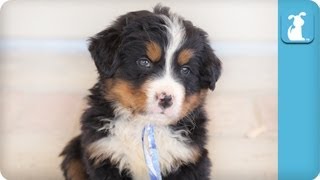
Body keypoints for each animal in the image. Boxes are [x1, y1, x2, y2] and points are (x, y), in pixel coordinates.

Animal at [60, 4, 222, 179]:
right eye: (144, 62)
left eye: (186, 70)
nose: (166, 98)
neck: (144, 125)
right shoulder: (103, 153)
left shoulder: (189, 158)